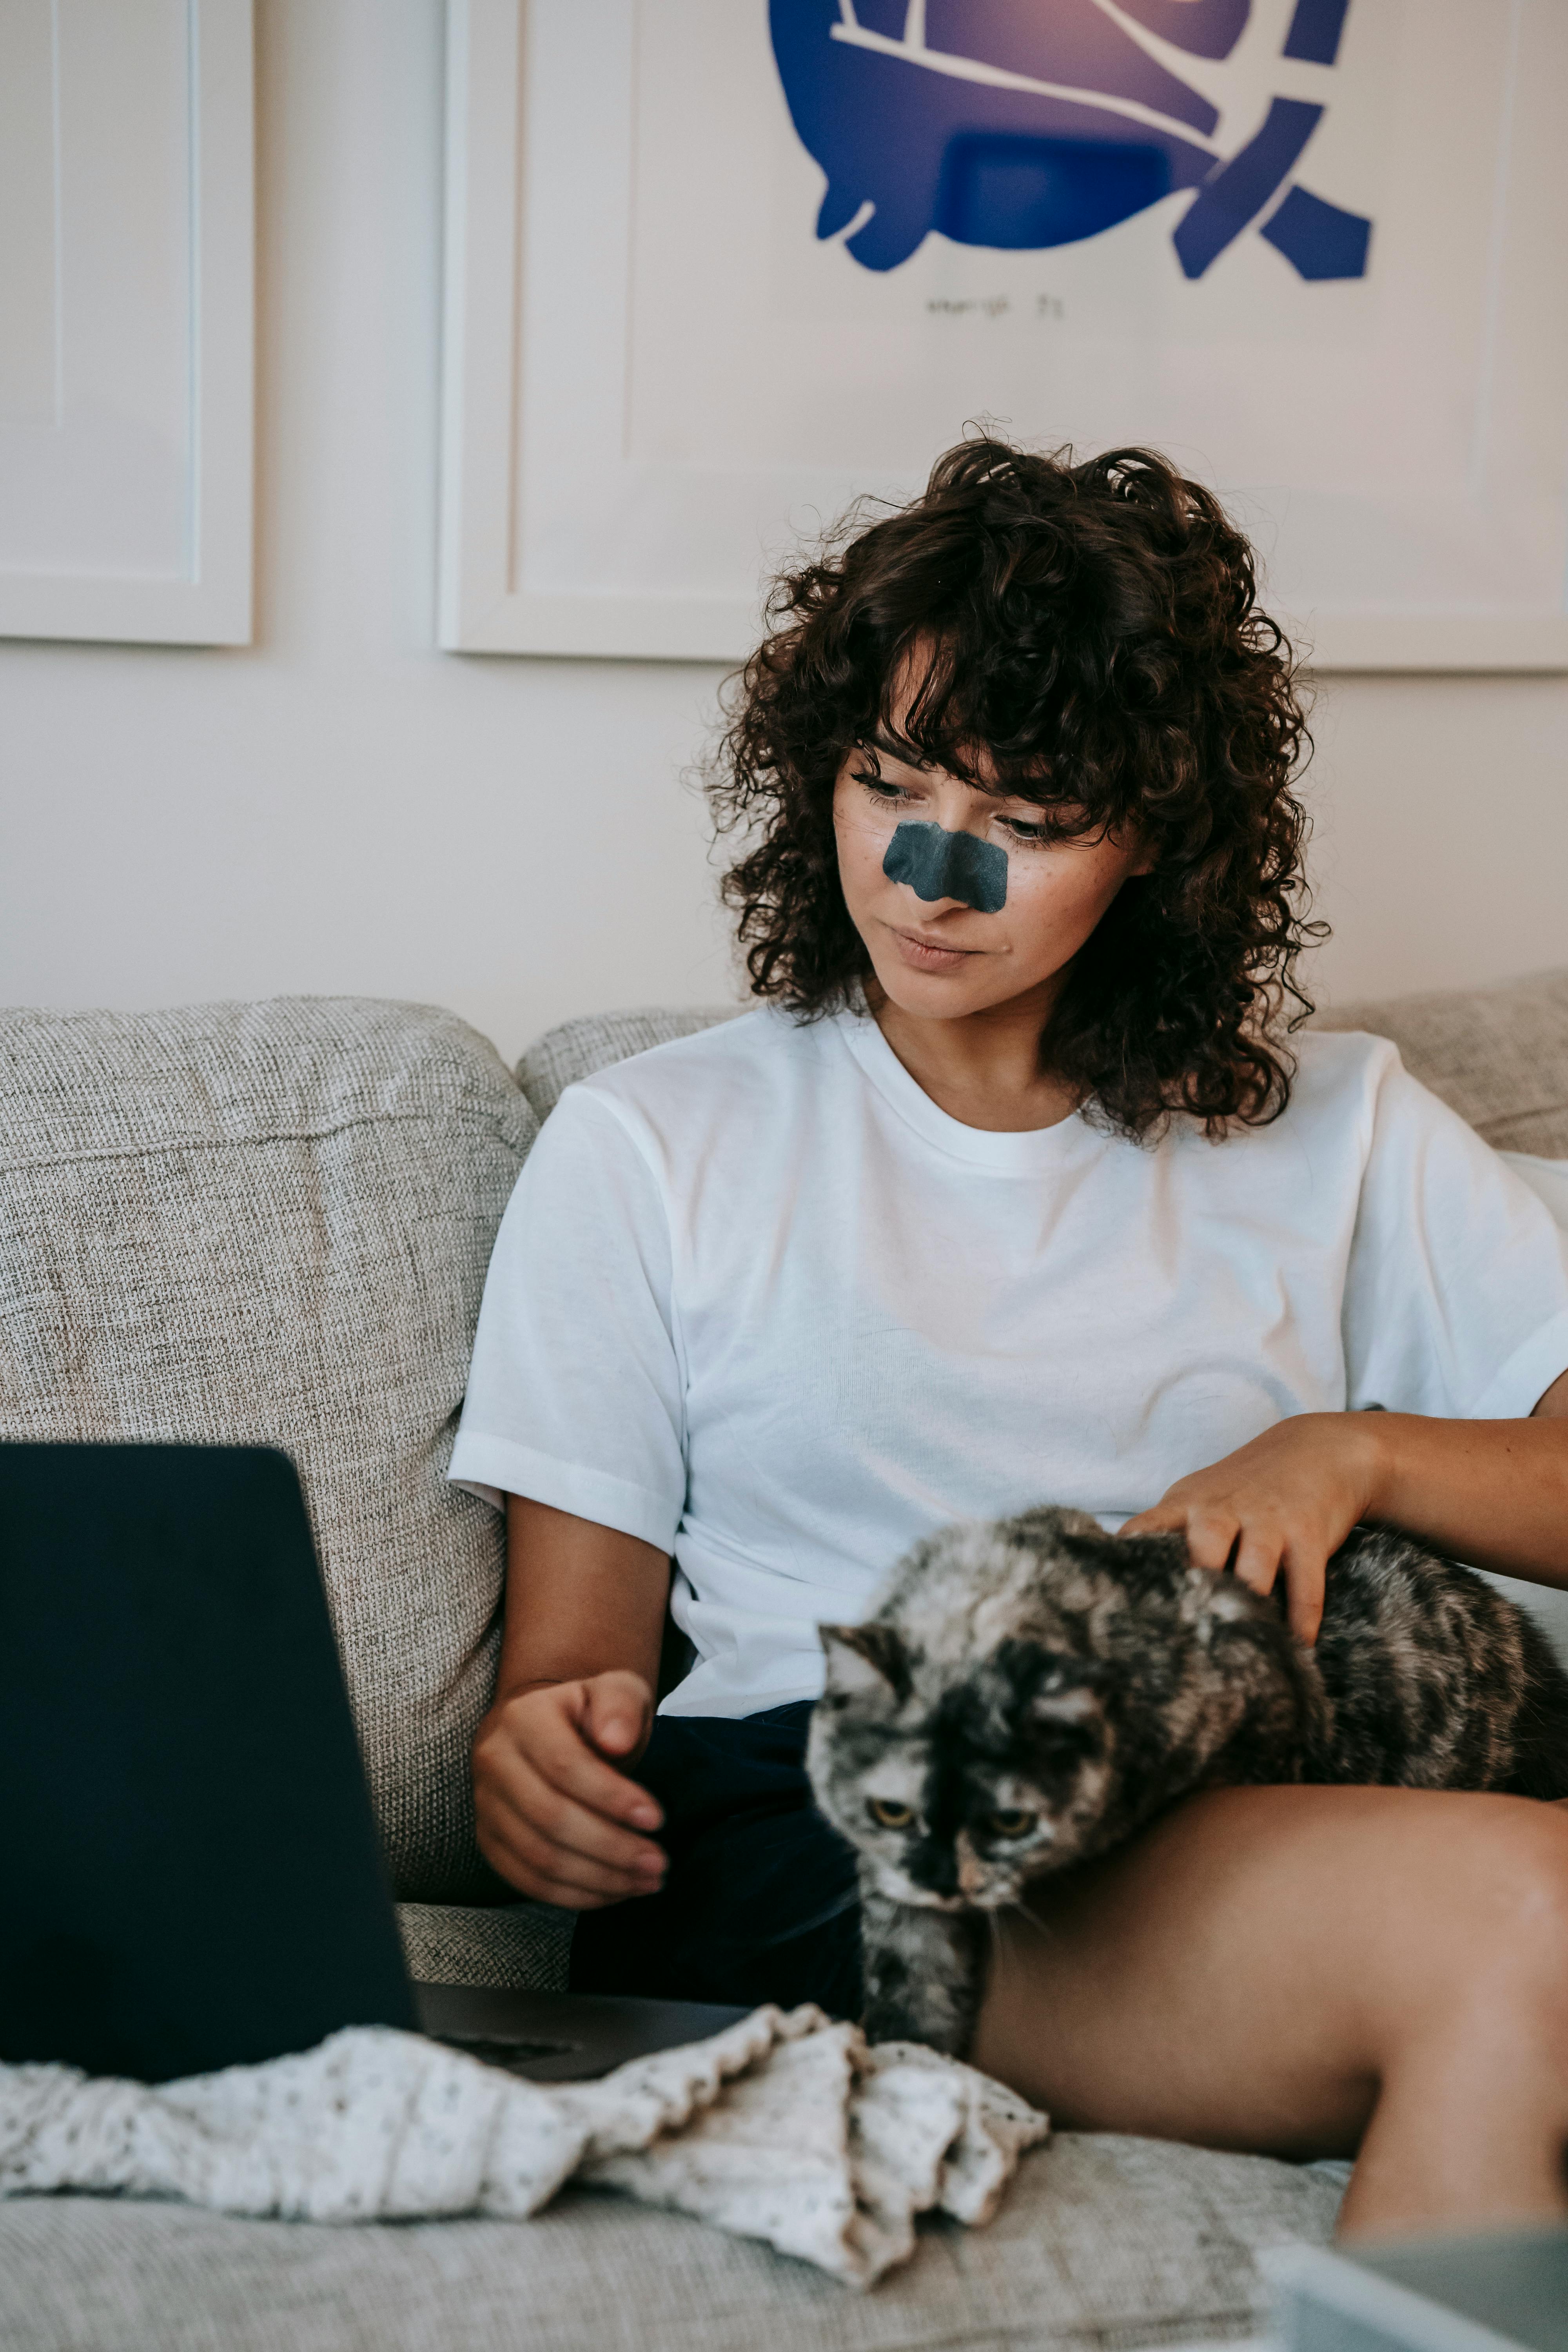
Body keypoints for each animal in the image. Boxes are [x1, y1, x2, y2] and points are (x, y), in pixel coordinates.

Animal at [808, 1515, 1568, 2051]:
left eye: (1012, 1822)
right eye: (891, 1811)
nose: (944, 1882)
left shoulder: (1268, 1715)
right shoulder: (889, 1874)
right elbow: (906, 1973)